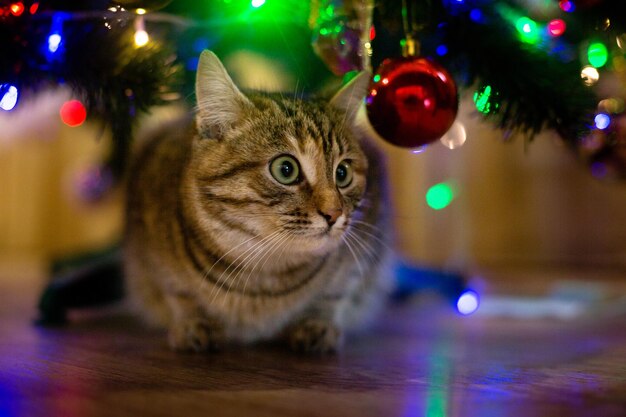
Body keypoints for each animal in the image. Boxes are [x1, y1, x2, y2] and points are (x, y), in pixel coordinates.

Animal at [123, 50, 390, 352]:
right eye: (286, 169)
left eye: (342, 173)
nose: (334, 213)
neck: (262, 278)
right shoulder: (151, 252)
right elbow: (179, 294)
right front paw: (194, 324)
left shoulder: (367, 245)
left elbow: (334, 294)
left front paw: (316, 325)